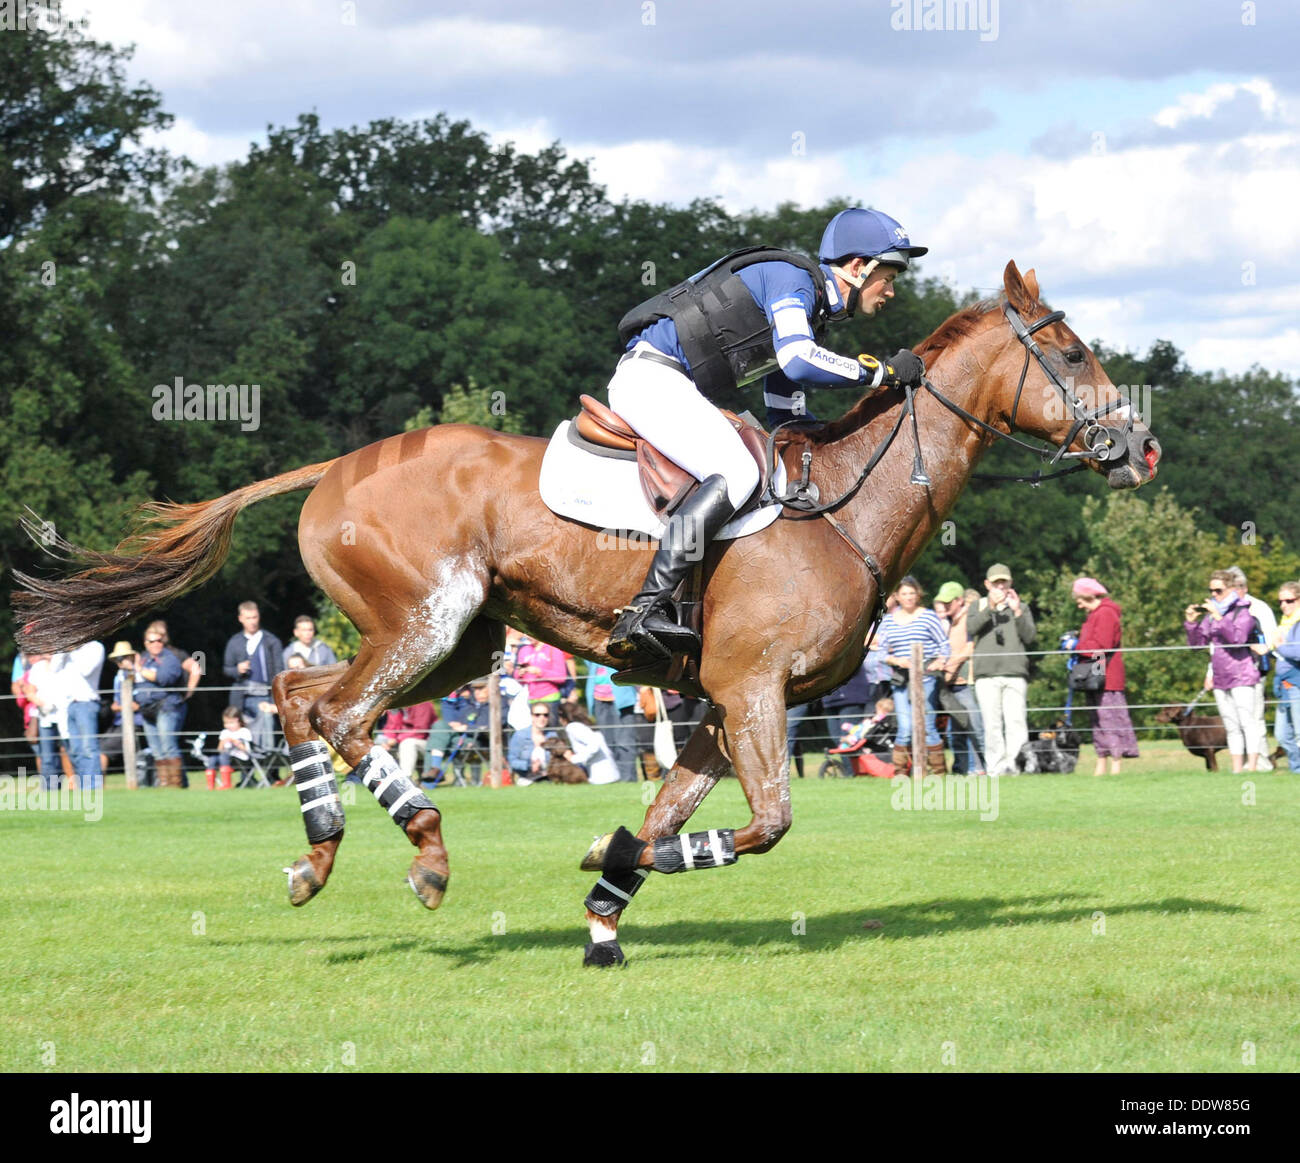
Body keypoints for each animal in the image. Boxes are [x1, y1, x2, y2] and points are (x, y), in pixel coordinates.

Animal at [14, 261, 1161, 966]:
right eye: (1068, 352)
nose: (1140, 445)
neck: (844, 506)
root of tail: (335, 467)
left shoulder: (728, 705)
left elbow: (672, 818)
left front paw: (606, 914)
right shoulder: (749, 690)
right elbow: (762, 824)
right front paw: (602, 863)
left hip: (455, 639)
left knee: (297, 693)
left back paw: (318, 852)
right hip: (430, 622)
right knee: (340, 715)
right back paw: (424, 851)